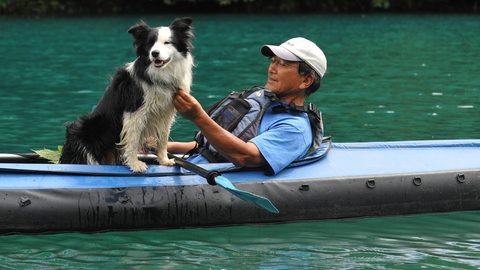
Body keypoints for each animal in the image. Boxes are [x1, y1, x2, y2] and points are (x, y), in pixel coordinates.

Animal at [59, 17, 193, 173]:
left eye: (167, 42)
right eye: (150, 43)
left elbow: (163, 138)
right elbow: (133, 140)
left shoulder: (165, 113)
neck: (157, 76)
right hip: (85, 132)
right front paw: (135, 164)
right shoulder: (135, 112)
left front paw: (164, 161)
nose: (154, 53)